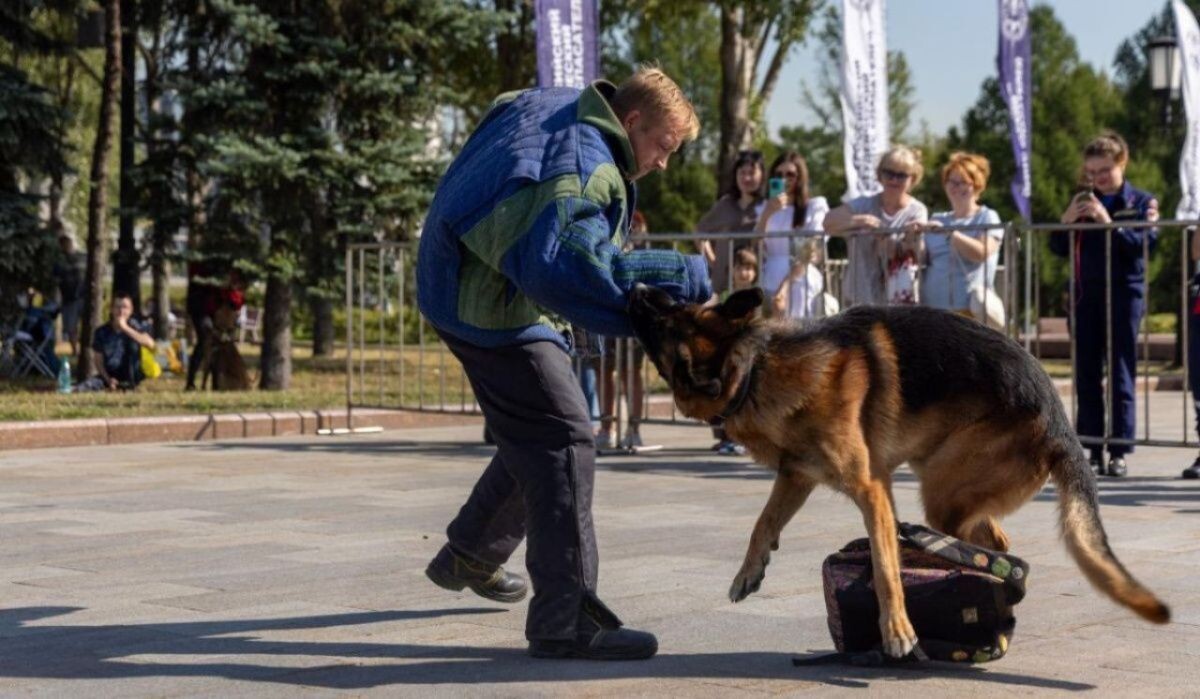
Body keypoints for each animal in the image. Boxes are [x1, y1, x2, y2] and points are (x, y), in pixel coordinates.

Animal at [624, 284, 1166, 658]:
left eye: (669, 312)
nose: (637, 286)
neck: (756, 367)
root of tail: (1062, 425)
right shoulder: (797, 476)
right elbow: (763, 523)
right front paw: (748, 572)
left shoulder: (872, 490)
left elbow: (885, 567)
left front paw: (897, 630)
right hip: (949, 486)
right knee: (997, 542)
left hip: (943, 489)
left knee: (982, 543)